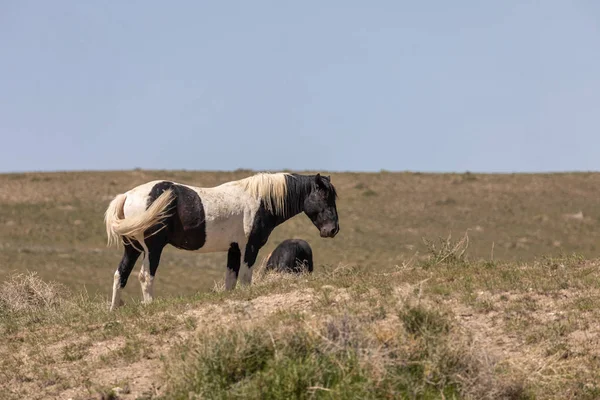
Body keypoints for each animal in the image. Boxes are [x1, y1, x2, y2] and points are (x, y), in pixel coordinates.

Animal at [105, 171, 340, 310]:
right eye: (324, 196)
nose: (333, 230)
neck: (260, 200)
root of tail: (127, 196)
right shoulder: (249, 247)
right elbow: (244, 278)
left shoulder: (233, 249)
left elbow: (231, 280)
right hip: (152, 248)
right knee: (145, 276)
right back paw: (150, 306)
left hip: (133, 248)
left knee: (120, 274)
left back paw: (115, 310)